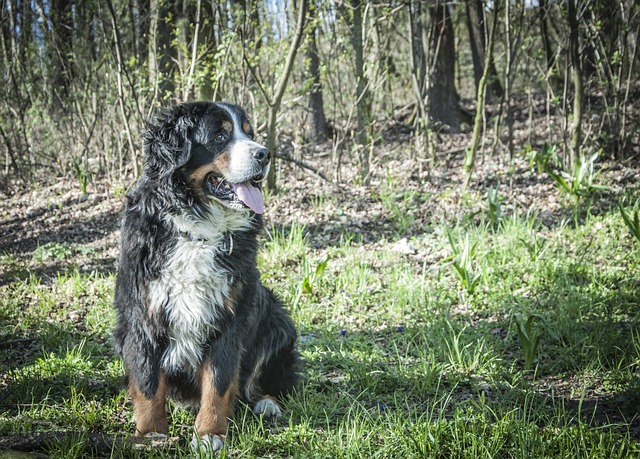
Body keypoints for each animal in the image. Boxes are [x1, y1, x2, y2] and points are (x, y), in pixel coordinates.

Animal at [112, 101, 298, 452]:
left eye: (248, 133)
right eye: (220, 136)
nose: (264, 154)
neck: (198, 231)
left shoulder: (228, 316)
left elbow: (219, 382)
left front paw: (210, 434)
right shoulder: (143, 313)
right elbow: (147, 382)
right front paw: (151, 435)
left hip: (277, 321)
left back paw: (267, 403)